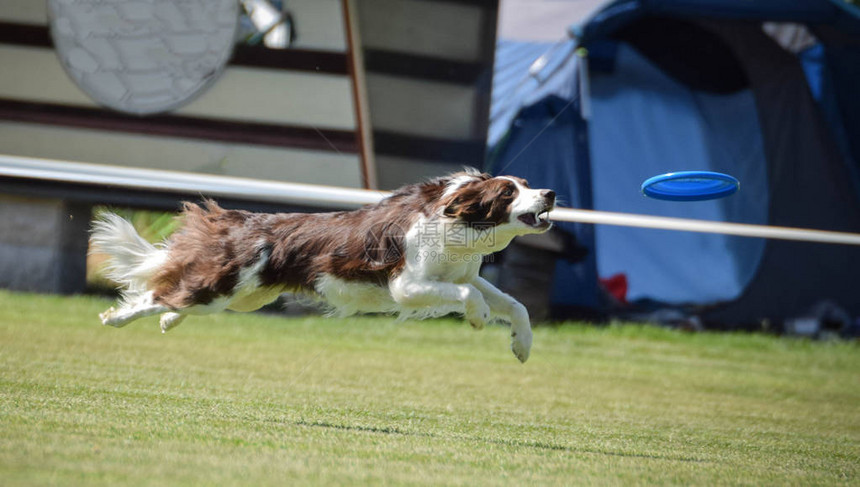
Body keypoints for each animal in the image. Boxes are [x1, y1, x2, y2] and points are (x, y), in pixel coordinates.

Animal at [90, 171, 556, 362]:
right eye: (508, 192)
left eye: (527, 184)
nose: (551, 193)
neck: (456, 224)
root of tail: (238, 222)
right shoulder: (407, 285)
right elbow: (470, 296)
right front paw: (478, 318)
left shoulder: (463, 273)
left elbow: (514, 305)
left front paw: (522, 347)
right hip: (228, 286)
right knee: (159, 293)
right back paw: (115, 318)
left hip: (247, 296)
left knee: (176, 297)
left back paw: (169, 321)